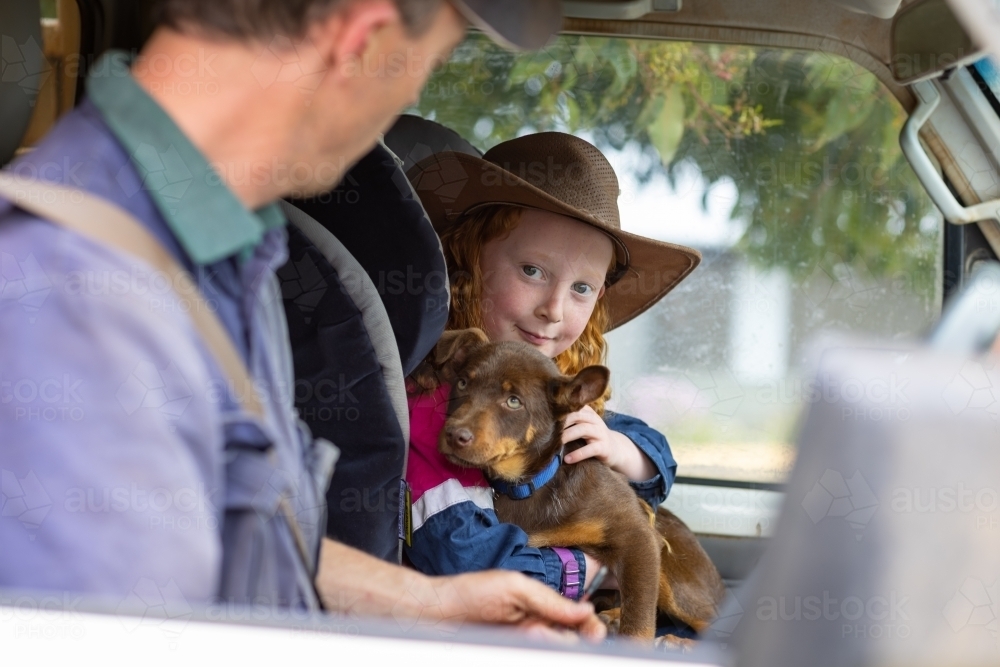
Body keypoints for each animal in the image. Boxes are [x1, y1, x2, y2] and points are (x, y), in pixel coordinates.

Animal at [424, 328, 728, 640]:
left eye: (513, 401)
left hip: (673, 571)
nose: (454, 435)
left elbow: (639, 620)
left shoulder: (641, 538)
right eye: (462, 383)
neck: (527, 484)